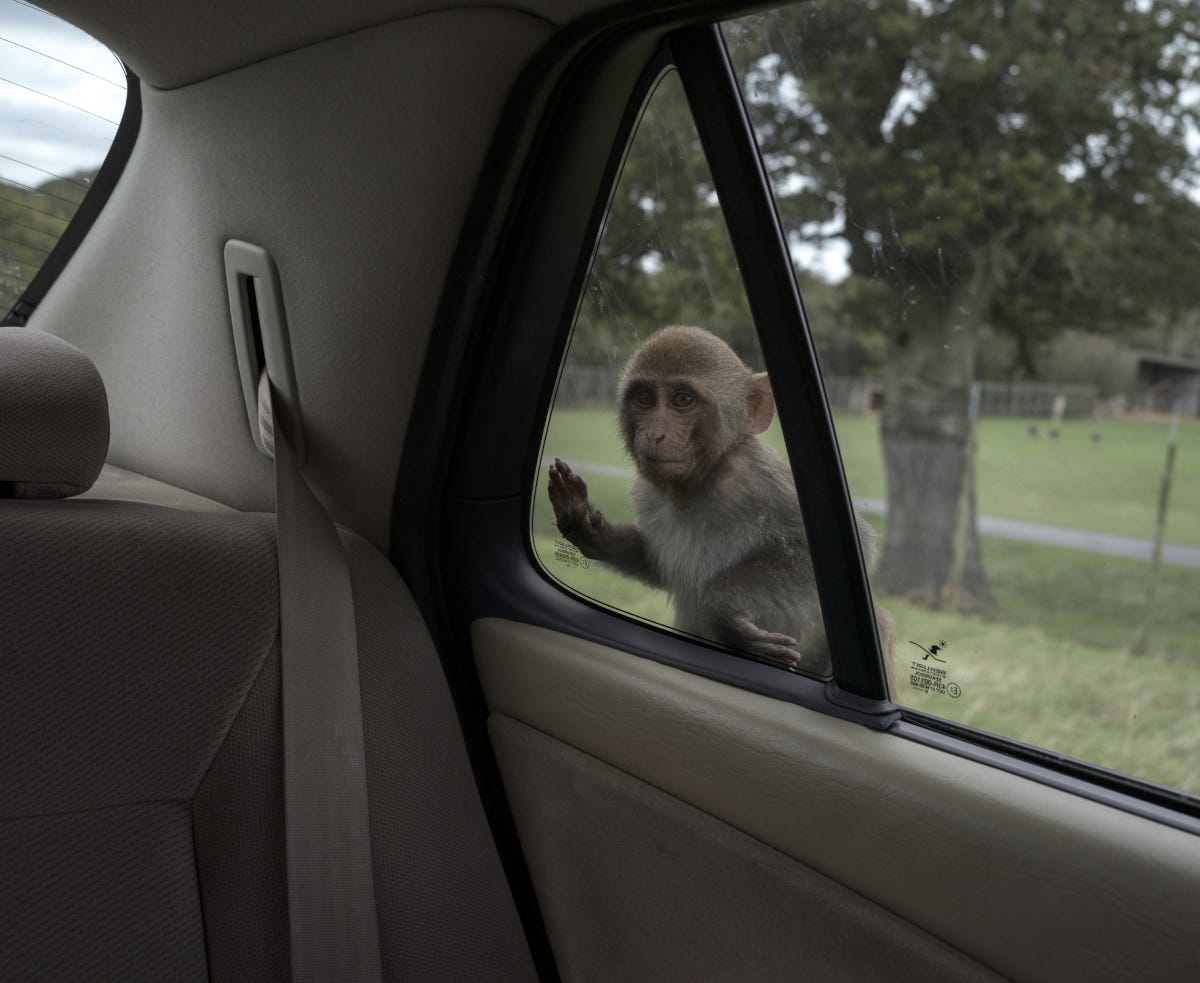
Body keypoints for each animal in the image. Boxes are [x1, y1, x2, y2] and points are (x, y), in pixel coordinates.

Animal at [549, 324, 892, 678]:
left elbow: (842, 552)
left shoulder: (757, 479)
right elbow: (657, 565)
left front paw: (723, 611)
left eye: (682, 400)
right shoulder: (647, 494)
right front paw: (590, 530)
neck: (698, 483)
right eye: (645, 399)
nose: (654, 434)